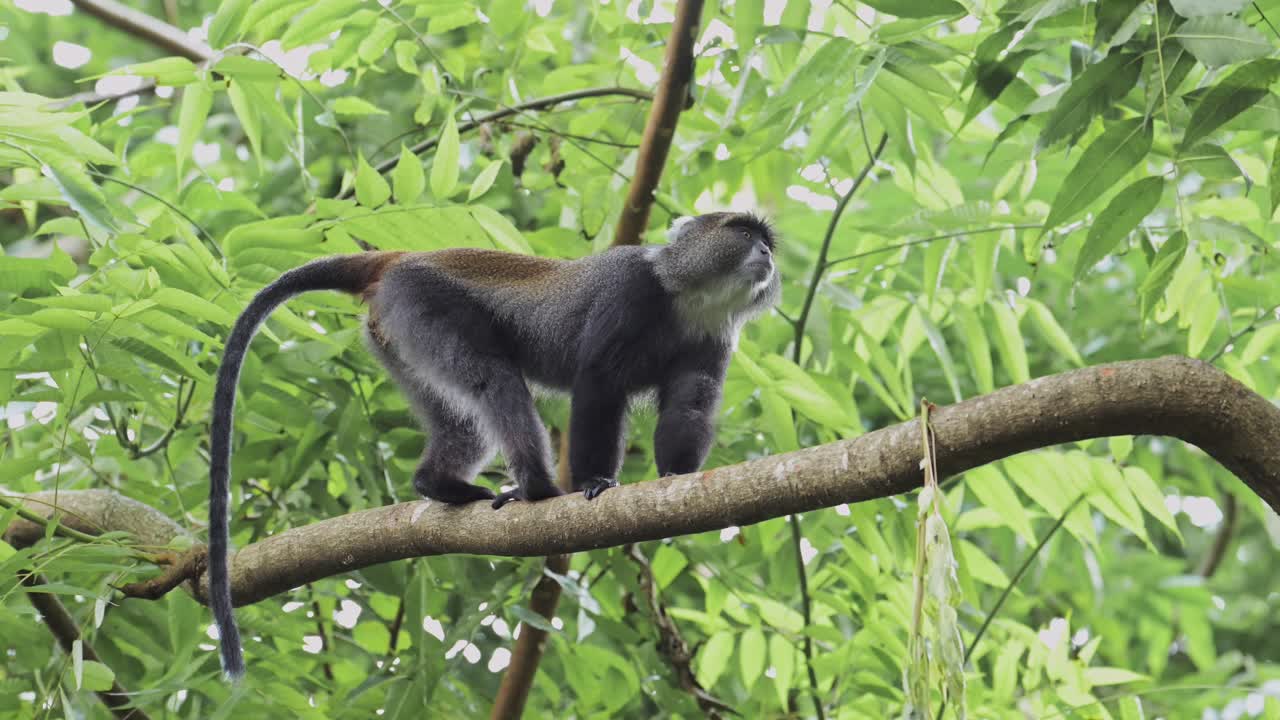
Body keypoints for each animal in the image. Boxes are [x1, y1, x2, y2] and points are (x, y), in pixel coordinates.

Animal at [207, 211, 780, 678]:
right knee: (494, 379)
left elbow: (690, 405)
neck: (686, 295)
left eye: (765, 238)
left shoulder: (712, 337)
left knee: (462, 424)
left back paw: (440, 484)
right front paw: (595, 481)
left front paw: (677, 478)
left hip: (395, 335)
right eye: (742, 232)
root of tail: (398, 259)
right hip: (424, 305)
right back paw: (538, 488)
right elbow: (597, 384)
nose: (768, 254)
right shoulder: (629, 291)